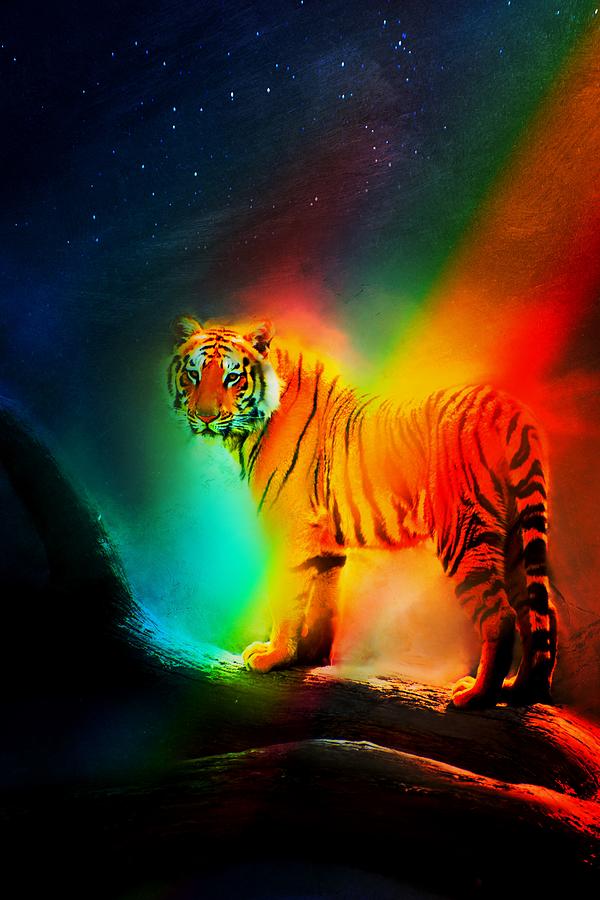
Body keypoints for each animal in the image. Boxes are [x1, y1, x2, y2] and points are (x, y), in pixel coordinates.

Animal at [167, 316, 557, 708]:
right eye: (193, 374)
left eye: (233, 377)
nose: (205, 417)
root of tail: (505, 405)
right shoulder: (326, 545)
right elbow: (323, 602)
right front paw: (308, 656)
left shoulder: (290, 528)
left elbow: (288, 598)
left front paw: (273, 656)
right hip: (515, 539)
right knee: (539, 613)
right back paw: (520, 689)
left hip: (465, 533)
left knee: (501, 615)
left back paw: (476, 695)